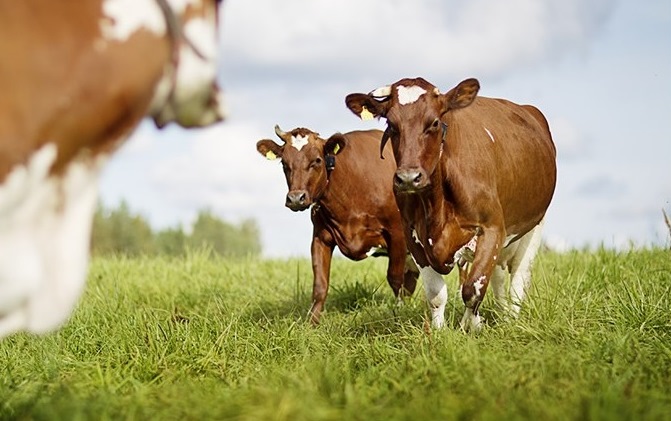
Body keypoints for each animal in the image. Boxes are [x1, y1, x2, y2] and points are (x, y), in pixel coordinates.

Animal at [256, 126, 418, 324]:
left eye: (317, 160)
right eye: (284, 163)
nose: (295, 198)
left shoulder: (396, 233)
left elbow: (395, 278)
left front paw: (398, 314)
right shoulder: (320, 238)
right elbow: (320, 285)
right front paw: (311, 324)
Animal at [346, 77, 556, 330]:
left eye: (435, 122)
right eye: (391, 124)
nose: (408, 178)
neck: (437, 206)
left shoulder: (492, 228)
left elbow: (473, 289)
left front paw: (472, 326)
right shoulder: (413, 238)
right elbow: (436, 294)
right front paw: (439, 331)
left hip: (534, 226)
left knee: (518, 277)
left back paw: (511, 320)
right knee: (498, 276)